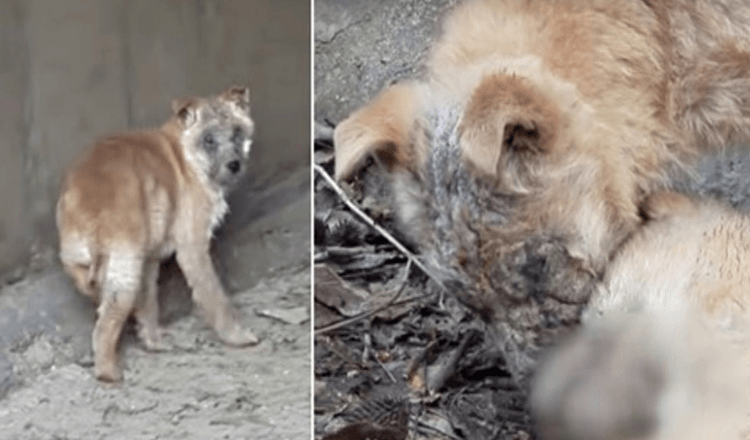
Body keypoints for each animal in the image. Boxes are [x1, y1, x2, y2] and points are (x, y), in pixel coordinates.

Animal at [57, 86, 260, 382]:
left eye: (237, 132)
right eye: (208, 140)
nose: (234, 165)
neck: (187, 156)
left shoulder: (150, 260)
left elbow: (149, 303)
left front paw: (153, 341)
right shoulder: (192, 248)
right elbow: (214, 296)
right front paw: (237, 336)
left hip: (87, 263)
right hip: (125, 269)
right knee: (105, 326)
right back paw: (109, 373)